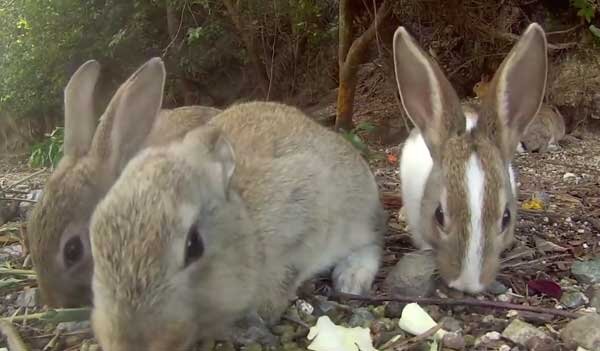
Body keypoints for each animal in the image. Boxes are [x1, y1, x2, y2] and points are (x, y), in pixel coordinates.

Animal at [86, 84, 382, 350]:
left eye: (194, 245)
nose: (128, 343)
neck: (248, 225)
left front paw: (260, 314)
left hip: (360, 211)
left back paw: (351, 278)